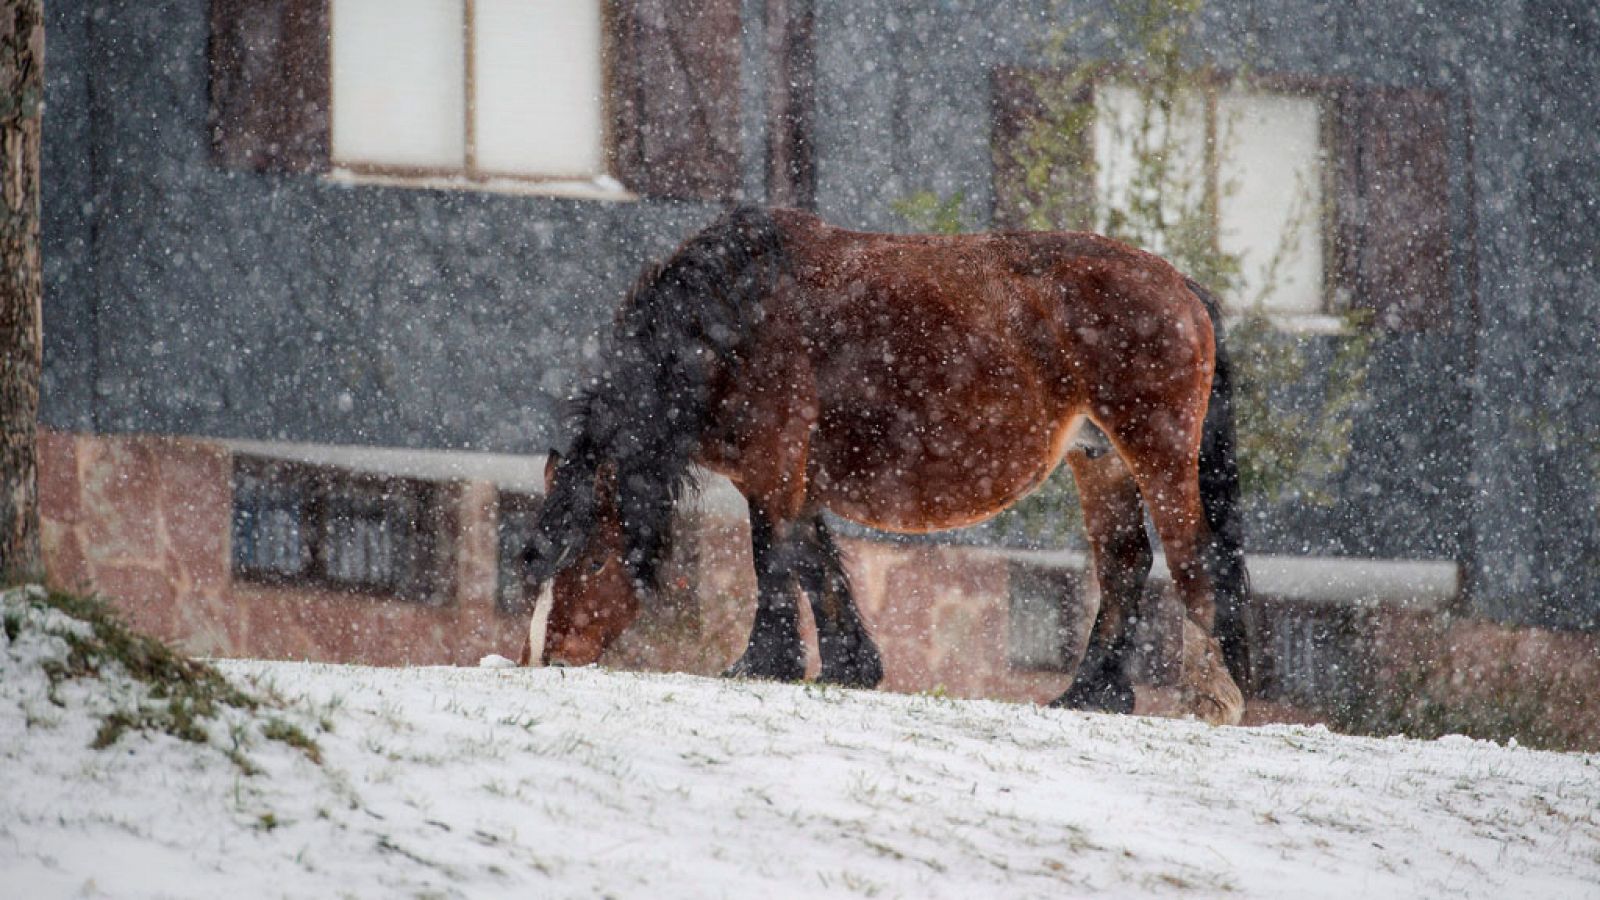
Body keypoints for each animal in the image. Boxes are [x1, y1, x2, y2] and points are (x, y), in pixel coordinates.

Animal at [512, 203, 1248, 714]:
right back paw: (1091, 694)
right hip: (1100, 460)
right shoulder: (791, 477)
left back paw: (1208, 697)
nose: (547, 658)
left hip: (1158, 454)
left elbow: (776, 558)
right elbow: (814, 561)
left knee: (1191, 559)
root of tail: (1181, 285)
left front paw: (765, 662)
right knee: (1125, 562)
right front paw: (850, 665)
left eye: (592, 557)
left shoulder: (772, 467)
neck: (732, 319)